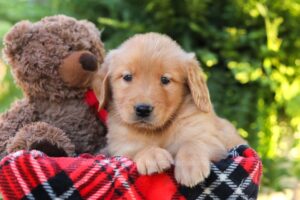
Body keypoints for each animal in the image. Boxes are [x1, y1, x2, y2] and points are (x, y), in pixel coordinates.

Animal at [94, 32, 246, 188]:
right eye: (127, 77)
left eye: (165, 80)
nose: (143, 109)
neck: (158, 130)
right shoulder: (120, 144)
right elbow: (136, 147)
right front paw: (152, 155)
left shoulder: (213, 141)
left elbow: (193, 142)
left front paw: (190, 166)